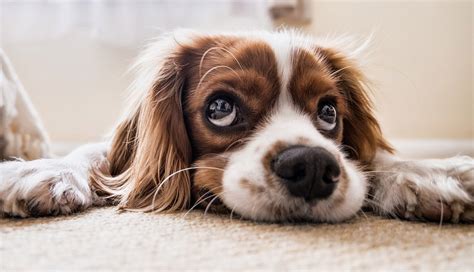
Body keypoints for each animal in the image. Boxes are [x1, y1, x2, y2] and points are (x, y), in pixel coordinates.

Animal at [0, 29, 474, 222]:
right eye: (221, 108)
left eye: (328, 112)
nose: (312, 166)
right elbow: (94, 154)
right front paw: (41, 170)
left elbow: (375, 158)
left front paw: (429, 173)